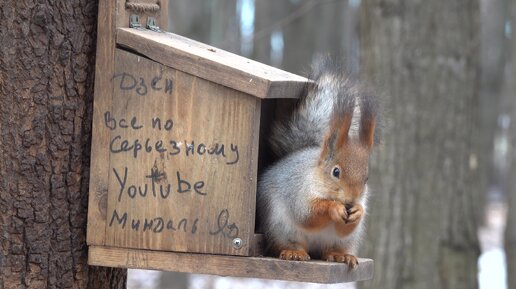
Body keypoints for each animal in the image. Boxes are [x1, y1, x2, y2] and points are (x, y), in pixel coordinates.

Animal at [256, 58, 380, 268]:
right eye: (336, 172)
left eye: (366, 178)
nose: (351, 200)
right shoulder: (298, 192)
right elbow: (308, 214)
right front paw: (334, 208)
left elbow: (346, 226)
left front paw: (358, 211)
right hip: (280, 228)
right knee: (288, 243)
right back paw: (294, 252)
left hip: (344, 241)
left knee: (331, 248)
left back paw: (340, 255)